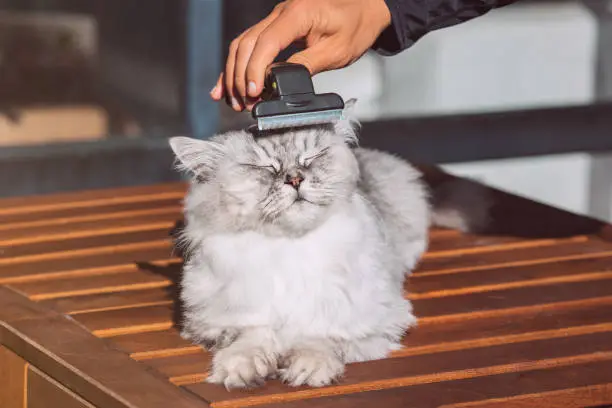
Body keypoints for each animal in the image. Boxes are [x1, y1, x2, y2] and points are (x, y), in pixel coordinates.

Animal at [169, 101, 482, 388]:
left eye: (311, 157)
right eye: (263, 167)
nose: (295, 179)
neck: (290, 248)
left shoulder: (371, 316)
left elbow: (320, 335)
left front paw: (309, 368)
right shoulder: (218, 318)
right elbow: (252, 335)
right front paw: (241, 369)